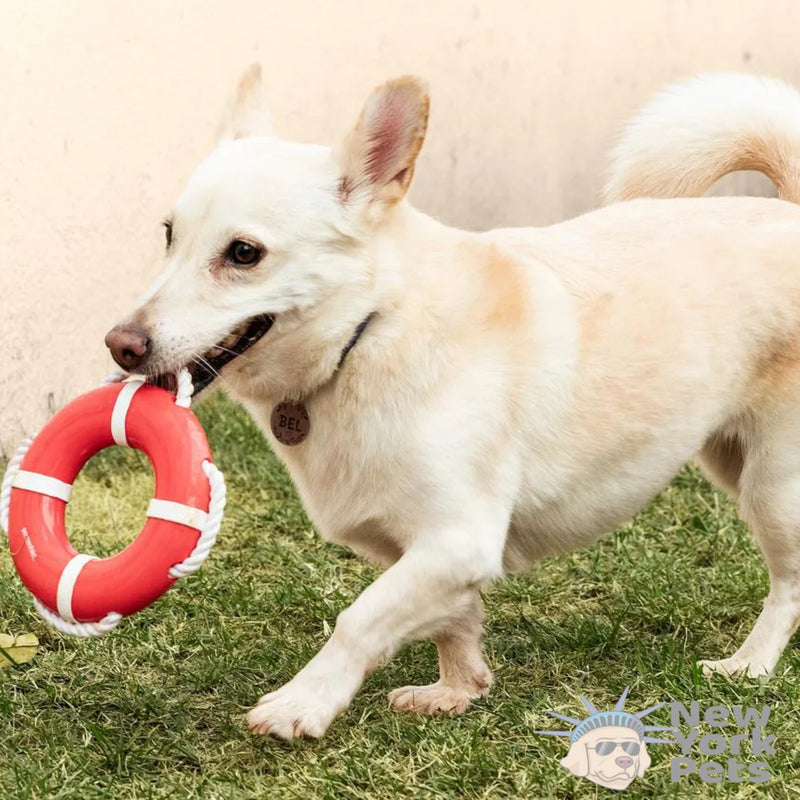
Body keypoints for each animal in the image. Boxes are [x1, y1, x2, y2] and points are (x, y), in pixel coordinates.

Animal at [108, 69, 800, 736]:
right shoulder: (436, 556)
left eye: (244, 254)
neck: (370, 329)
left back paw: (750, 664)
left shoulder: (457, 541)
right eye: (168, 236)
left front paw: (302, 705)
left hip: (773, 491)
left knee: (788, 584)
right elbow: (455, 619)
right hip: (727, 459)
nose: (120, 344)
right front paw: (458, 691)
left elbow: (360, 620)